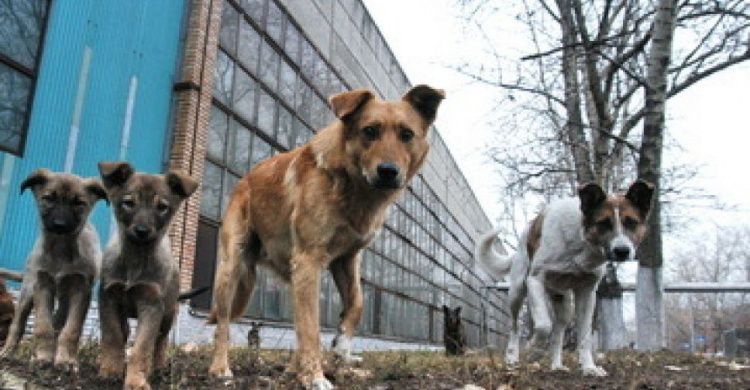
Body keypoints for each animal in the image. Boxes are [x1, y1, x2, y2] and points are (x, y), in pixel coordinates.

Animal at [0, 168, 107, 368]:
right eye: (49, 198)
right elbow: (43, 326)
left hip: (65, 298)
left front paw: (65, 360)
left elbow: (71, 329)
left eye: (79, 203)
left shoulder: (81, 290)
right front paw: (43, 356)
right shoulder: (42, 285)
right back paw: (8, 351)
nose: (59, 225)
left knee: (59, 321)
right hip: (28, 290)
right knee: (18, 324)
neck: (60, 250)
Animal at [97, 160, 200, 388]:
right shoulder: (108, 298)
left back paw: (158, 367)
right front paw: (111, 370)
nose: (142, 231)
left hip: (168, 313)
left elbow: (142, 347)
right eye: (129, 203)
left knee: (160, 341)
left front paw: (136, 380)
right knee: (126, 332)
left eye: (162, 207)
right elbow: (113, 336)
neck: (135, 257)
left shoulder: (152, 305)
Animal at [209, 84, 444, 386]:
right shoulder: (309, 259)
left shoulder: (347, 259)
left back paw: (293, 368)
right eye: (369, 131)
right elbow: (312, 328)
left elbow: (356, 303)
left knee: (297, 320)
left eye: (406, 134)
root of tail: (244, 180)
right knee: (224, 322)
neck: (353, 188)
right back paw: (221, 367)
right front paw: (315, 377)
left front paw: (342, 345)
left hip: (291, 275)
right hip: (232, 267)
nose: (388, 172)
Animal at [478, 181, 656, 376]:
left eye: (631, 222)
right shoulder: (535, 281)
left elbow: (584, 336)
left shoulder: (587, 293)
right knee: (515, 326)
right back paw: (512, 357)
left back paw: (556, 365)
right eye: (603, 223)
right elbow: (543, 325)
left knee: (558, 333)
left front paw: (589, 368)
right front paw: (534, 350)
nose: (622, 251)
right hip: (517, 292)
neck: (581, 242)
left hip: (564, 304)